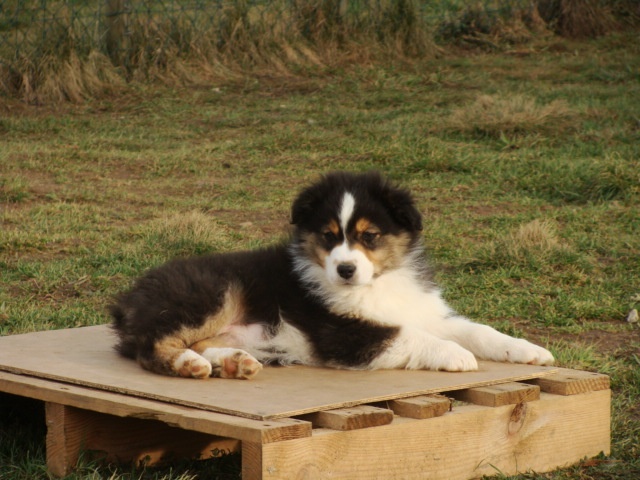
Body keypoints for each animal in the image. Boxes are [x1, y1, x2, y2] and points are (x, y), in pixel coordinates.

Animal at [111, 171, 554, 380]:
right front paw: (455, 355)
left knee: (201, 343)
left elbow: (478, 330)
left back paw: (236, 362)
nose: (345, 269)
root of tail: (129, 298)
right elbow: (406, 335)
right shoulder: (342, 332)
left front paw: (528, 350)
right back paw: (189, 365)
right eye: (328, 236)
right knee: (151, 345)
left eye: (369, 236)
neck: (378, 282)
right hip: (211, 293)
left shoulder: (424, 311)